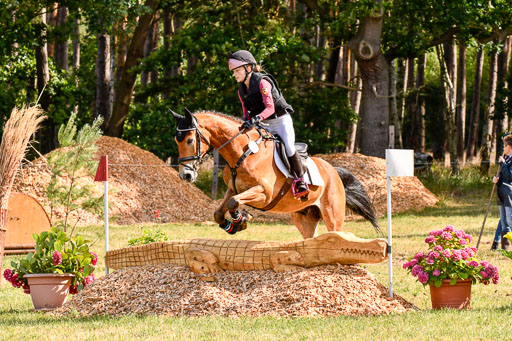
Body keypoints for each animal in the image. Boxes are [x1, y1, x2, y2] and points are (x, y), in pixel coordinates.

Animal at [171, 109, 380, 239]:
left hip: (333, 215)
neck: (243, 152)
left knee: (336, 233)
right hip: (304, 217)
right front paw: (235, 224)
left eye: (189, 140)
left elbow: (233, 203)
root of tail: (334, 171)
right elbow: (220, 210)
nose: (185, 176)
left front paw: (242, 219)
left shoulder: (264, 194)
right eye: (177, 141)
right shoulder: (233, 188)